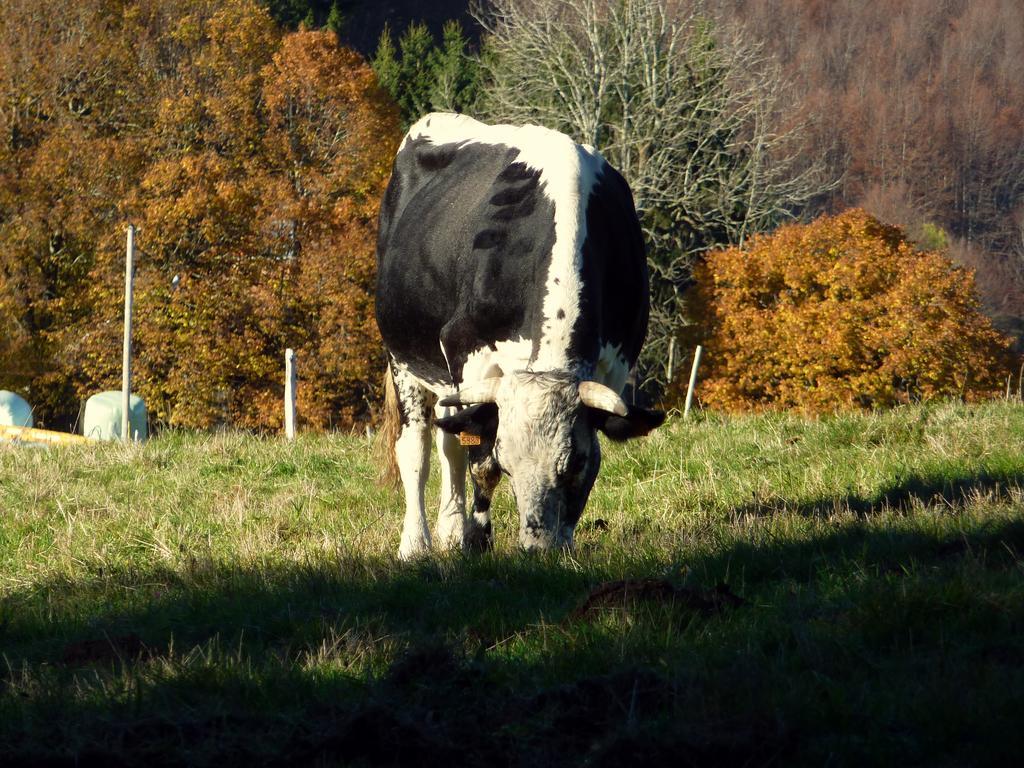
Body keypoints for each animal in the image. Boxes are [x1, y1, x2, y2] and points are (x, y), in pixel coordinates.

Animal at [376, 112, 663, 561]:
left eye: (575, 465)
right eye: (508, 464)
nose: (537, 549)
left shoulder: (617, 361)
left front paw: (564, 540)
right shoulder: (466, 350)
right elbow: (479, 459)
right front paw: (478, 540)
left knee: (448, 440)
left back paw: (450, 529)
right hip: (402, 354)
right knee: (417, 448)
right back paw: (416, 543)